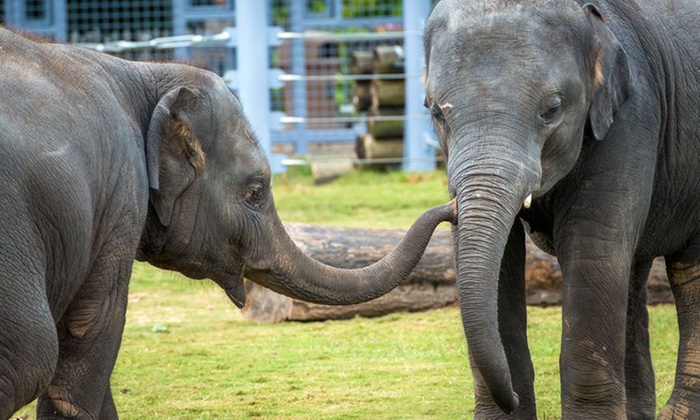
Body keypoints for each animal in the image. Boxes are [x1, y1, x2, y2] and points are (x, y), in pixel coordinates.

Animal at [0, 27, 456, 418]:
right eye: (255, 192)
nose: (451, 205)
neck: (140, 72)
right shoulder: (120, 198)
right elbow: (91, 329)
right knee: (33, 353)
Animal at [422, 0, 700, 418]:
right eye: (437, 113)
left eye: (551, 109)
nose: (509, 397)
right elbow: (501, 260)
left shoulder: (632, 115)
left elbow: (594, 248)